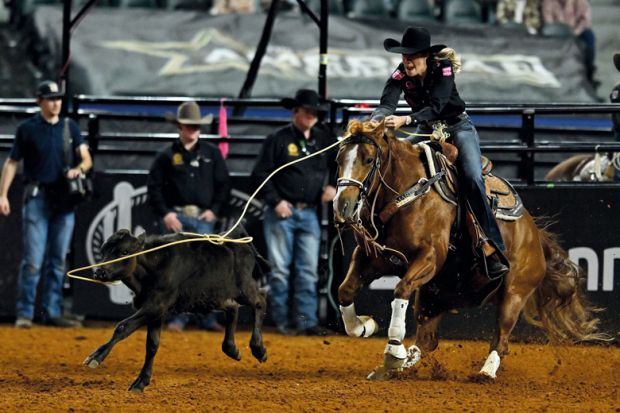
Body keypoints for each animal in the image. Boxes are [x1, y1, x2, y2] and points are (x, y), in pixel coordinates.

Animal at [336, 119, 604, 380]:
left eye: (368, 159)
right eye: (339, 159)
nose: (342, 205)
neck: (408, 192)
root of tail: (535, 235)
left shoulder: (430, 257)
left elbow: (401, 289)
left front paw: (393, 350)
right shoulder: (374, 257)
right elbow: (345, 291)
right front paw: (364, 326)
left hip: (514, 293)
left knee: (501, 337)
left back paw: (485, 372)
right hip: (435, 294)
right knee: (427, 339)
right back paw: (398, 368)